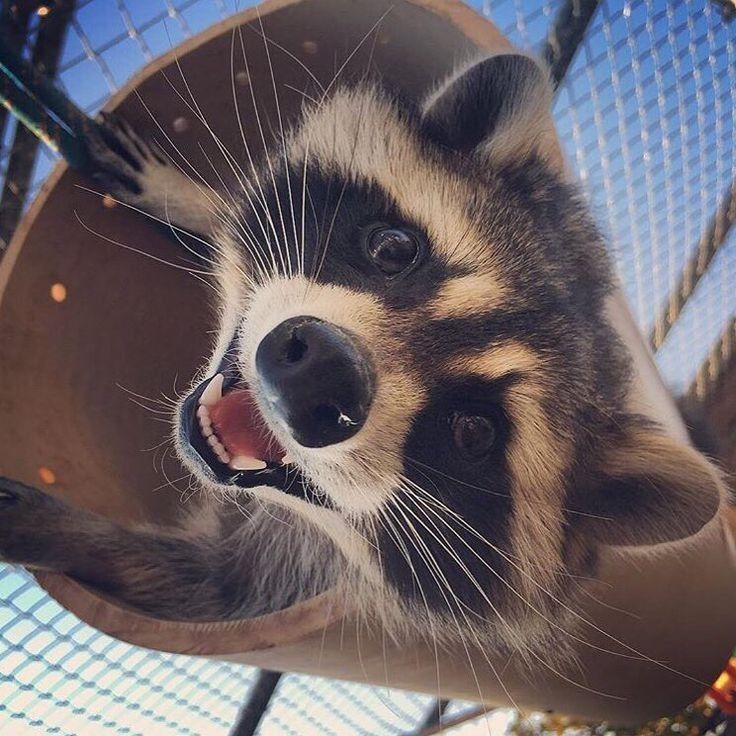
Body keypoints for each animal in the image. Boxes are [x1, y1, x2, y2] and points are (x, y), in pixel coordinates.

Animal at [0, 53, 727, 662]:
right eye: (394, 249)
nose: (321, 372)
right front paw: (193, 199)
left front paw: (66, 532)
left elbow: (201, 585)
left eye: (474, 431)